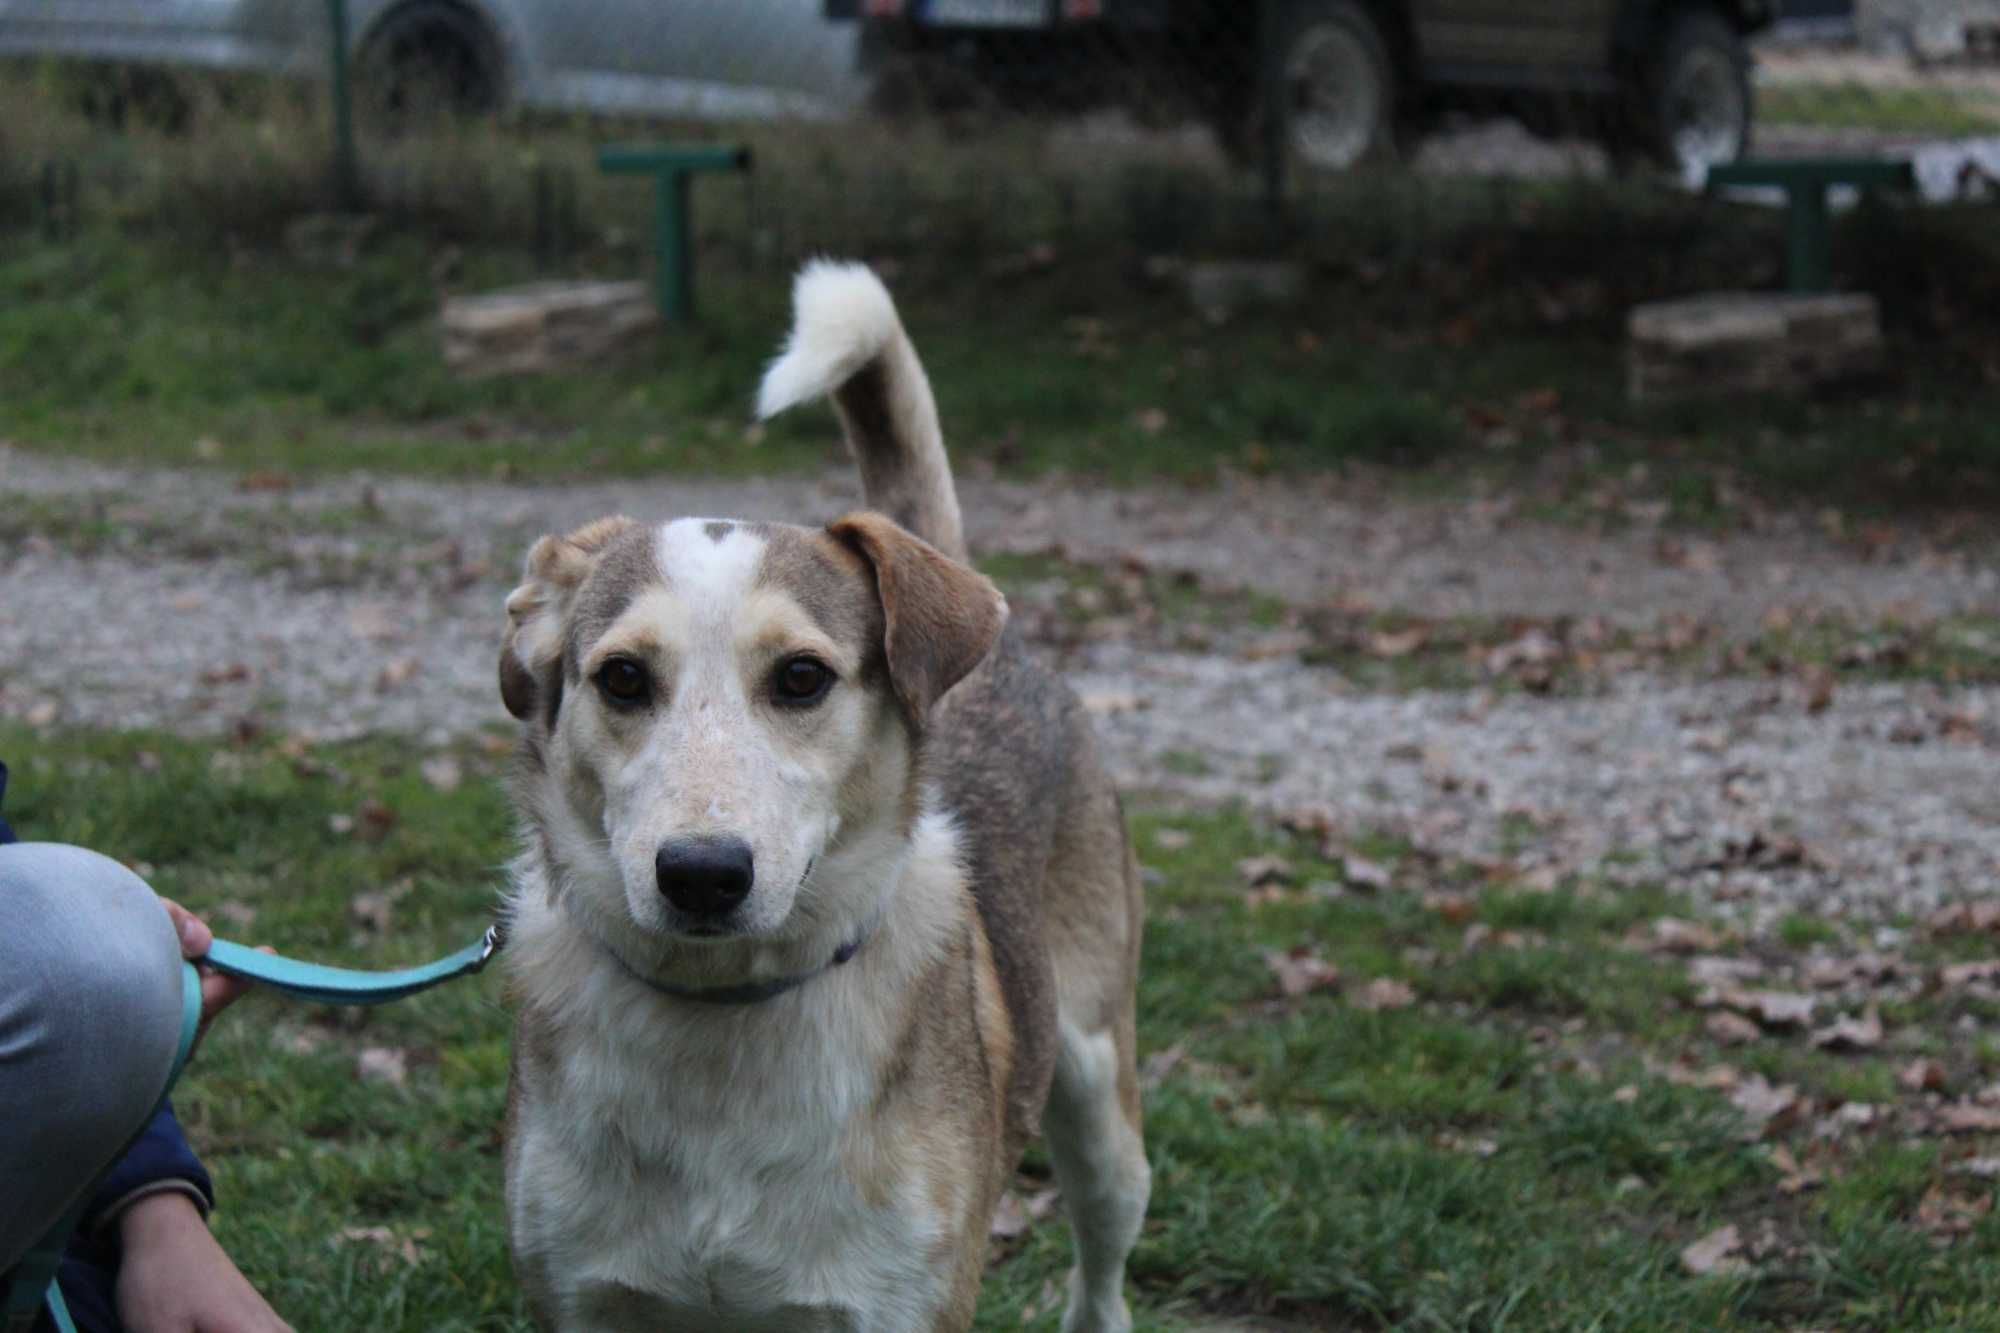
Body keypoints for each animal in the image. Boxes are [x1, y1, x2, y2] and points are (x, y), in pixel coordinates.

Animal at [498, 260, 1152, 1328]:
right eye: (623, 678)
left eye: (802, 676)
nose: (702, 874)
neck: (722, 1020)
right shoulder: (585, 1294)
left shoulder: (897, 1302)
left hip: (1100, 1100)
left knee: (1103, 1267)